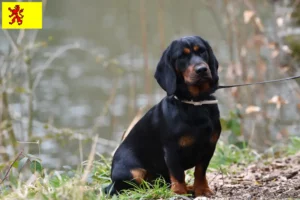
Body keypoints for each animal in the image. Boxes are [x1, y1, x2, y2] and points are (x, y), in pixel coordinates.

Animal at [104, 35, 221, 197]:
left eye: (202, 51)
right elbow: (178, 174)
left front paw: (202, 189)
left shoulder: (209, 146)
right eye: (181, 56)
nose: (202, 69)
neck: (195, 104)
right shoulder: (171, 150)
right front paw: (179, 192)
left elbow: (200, 171)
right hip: (132, 172)